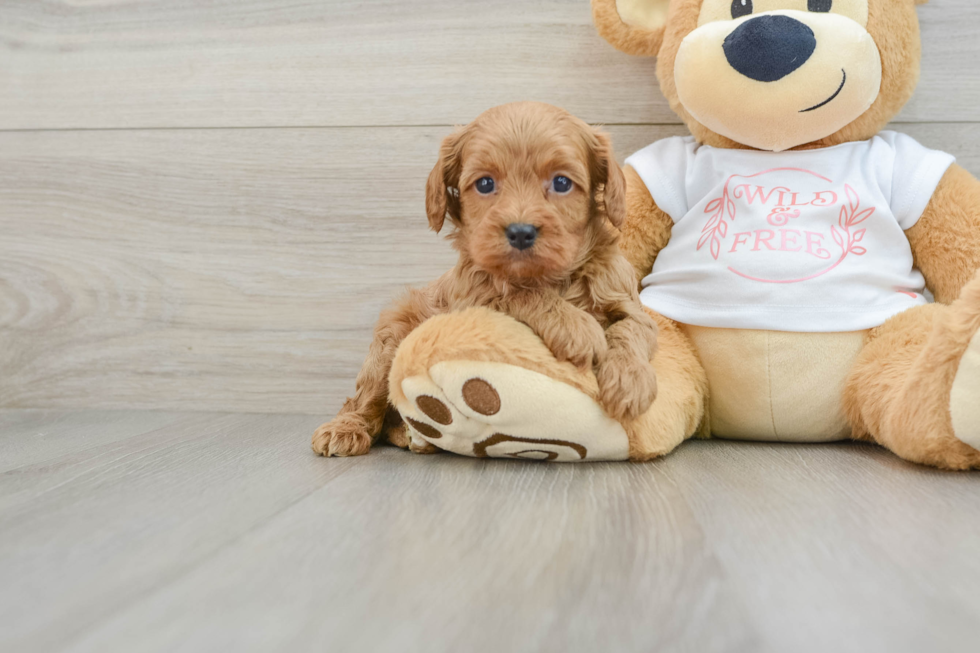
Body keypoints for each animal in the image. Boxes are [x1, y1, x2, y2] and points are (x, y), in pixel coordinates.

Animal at [314, 103, 660, 458]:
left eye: (562, 182)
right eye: (484, 184)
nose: (520, 232)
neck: (549, 277)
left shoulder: (628, 302)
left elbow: (629, 330)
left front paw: (630, 380)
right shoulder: (472, 297)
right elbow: (517, 295)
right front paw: (577, 327)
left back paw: (416, 438)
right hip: (390, 337)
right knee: (364, 399)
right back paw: (346, 429)